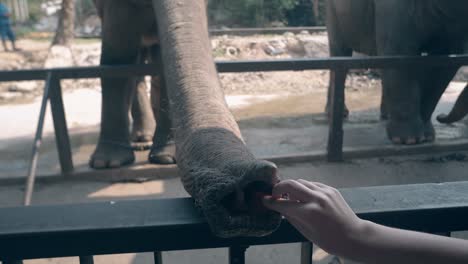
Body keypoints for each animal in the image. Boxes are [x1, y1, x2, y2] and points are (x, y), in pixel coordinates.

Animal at [92, 0, 282, 238]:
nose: (258, 175)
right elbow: (116, 59)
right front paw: (108, 163)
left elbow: (162, 68)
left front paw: (167, 159)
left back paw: (146, 143)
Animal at [326, 0, 468, 144]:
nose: (441, 116)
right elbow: (399, 53)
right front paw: (409, 140)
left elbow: (443, 64)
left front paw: (427, 137)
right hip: (333, 14)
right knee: (339, 51)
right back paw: (339, 114)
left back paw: (386, 115)